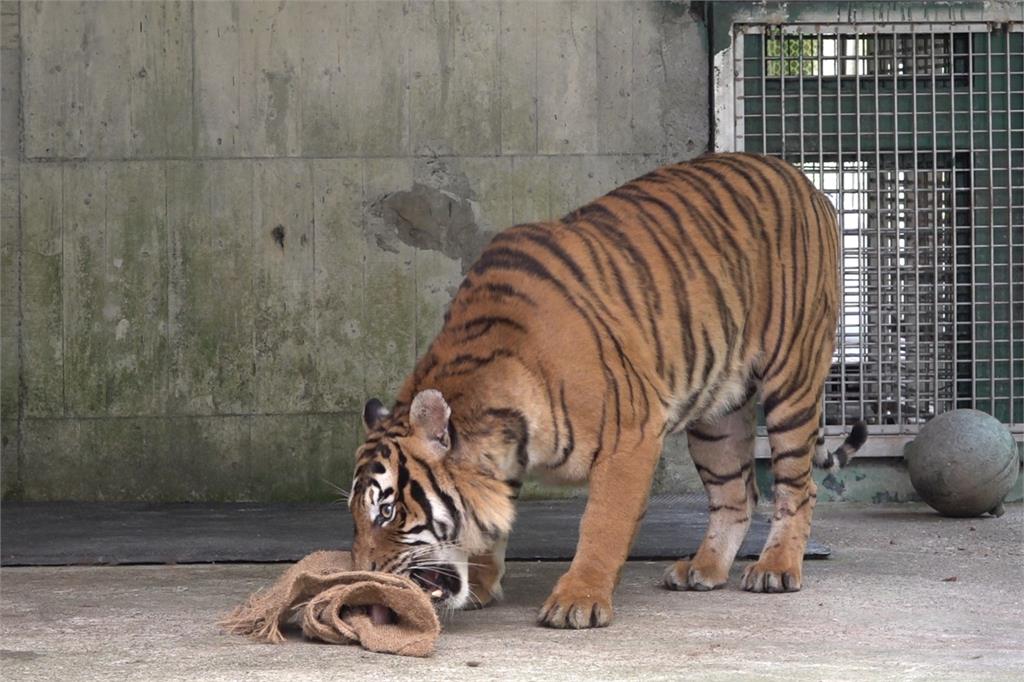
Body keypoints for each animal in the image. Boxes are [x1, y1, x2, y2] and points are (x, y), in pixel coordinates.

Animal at [348, 152, 868, 626]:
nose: (366, 575)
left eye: (387, 511)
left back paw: (776, 567)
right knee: (736, 494)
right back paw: (704, 568)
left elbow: (603, 523)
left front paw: (578, 599)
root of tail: (803, 180)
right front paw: (480, 581)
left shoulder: (631, 437)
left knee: (797, 486)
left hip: (792, 380)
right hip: (717, 416)